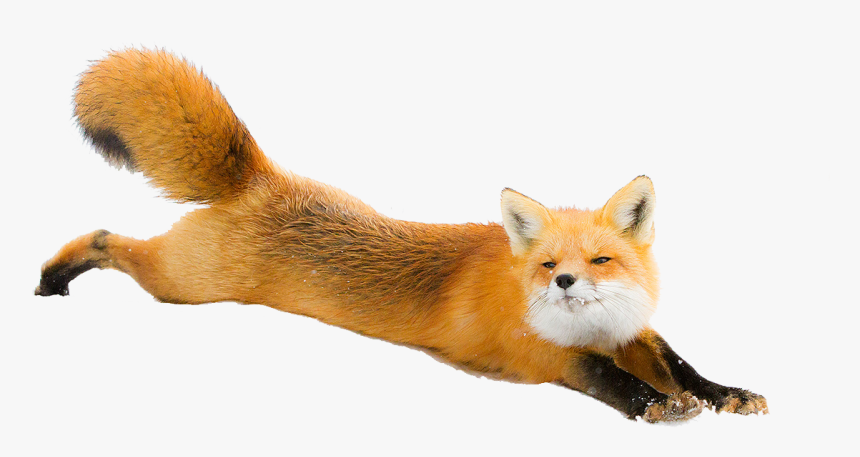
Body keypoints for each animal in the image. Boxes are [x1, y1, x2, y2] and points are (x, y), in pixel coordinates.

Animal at [36, 49, 767, 423]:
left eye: (601, 259)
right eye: (547, 263)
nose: (563, 281)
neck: (587, 325)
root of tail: (260, 178)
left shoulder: (630, 332)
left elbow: (681, 362)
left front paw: (721, 393)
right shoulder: (540, 354)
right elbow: (602, 375)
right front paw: (652, 403)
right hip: (183, 284)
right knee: (105, 236)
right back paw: (54, 274)